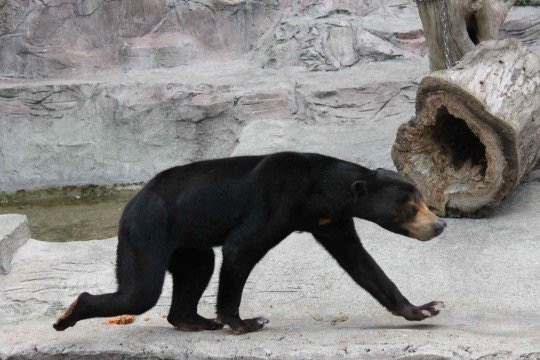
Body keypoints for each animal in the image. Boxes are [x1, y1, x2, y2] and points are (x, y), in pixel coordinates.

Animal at [52, 150, 446, 334]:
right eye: (412, 208)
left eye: (423, 201)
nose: (440, 225)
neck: (320, 192)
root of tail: (132, 202)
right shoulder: (278, 199)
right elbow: (240, 248)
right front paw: (245, 322)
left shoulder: (331, 220)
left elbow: (360, 262)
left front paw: (425, 308)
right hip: (147, 230)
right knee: (141, 290)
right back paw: (67, 315)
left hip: (186, 241)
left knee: (197, 269)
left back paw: (193, 320)